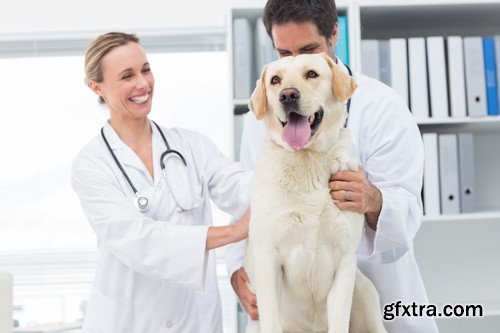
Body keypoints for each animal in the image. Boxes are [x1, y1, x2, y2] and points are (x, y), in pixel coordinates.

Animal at [244, 53, 384, 330]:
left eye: (311, 74)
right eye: (275, 80)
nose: (287, 95)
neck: (306, 159)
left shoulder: (344, 261)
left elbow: (339, 320)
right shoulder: (267, 259)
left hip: (365, 295)